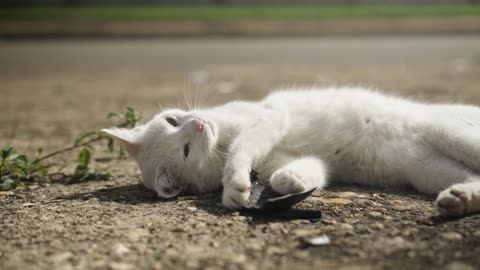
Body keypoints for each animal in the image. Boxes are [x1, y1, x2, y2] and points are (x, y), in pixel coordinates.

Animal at [104, 87, 480, 218]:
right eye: (184, 151)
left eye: (172, 120)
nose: (197, 124)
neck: (219, 140)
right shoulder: (294, 158)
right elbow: (302, 170)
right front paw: (291, 180)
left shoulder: (269, 116)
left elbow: (243, 146)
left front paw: (234, 181)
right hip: (428, 170)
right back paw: (460, 199)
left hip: (450, 134)